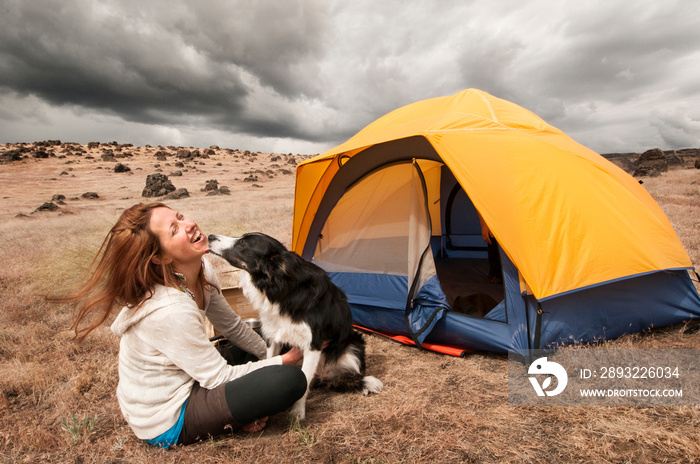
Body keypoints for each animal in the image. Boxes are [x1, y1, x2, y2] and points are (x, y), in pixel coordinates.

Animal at [208, 234, 382, 418]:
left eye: (243, 243)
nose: (210, 236)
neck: (280, 289)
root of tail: (323, 376)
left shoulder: (313, 344)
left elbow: (304, 379)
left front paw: (298, 411)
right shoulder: (273, 337)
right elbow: (272, 362)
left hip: (354, 345)